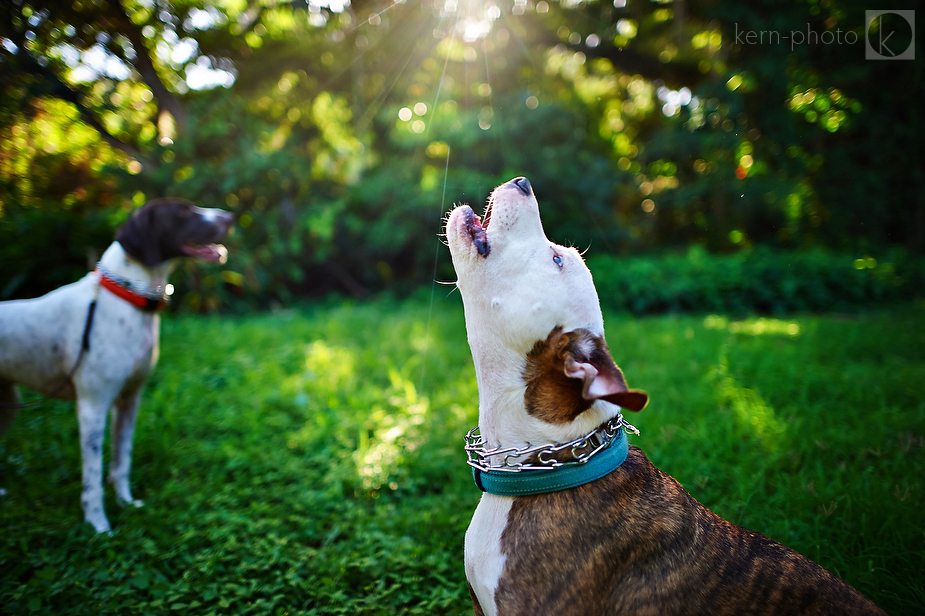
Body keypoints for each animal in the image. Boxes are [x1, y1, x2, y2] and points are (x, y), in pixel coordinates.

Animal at [0, 199, 231, 536]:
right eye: (182, 211)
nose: (230, 217)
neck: (126, 297)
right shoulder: (93, 407)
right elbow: (93, 480)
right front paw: (99, 526)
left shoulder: (129, 401)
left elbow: (122, 460)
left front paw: (126, 502)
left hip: (8, 404)